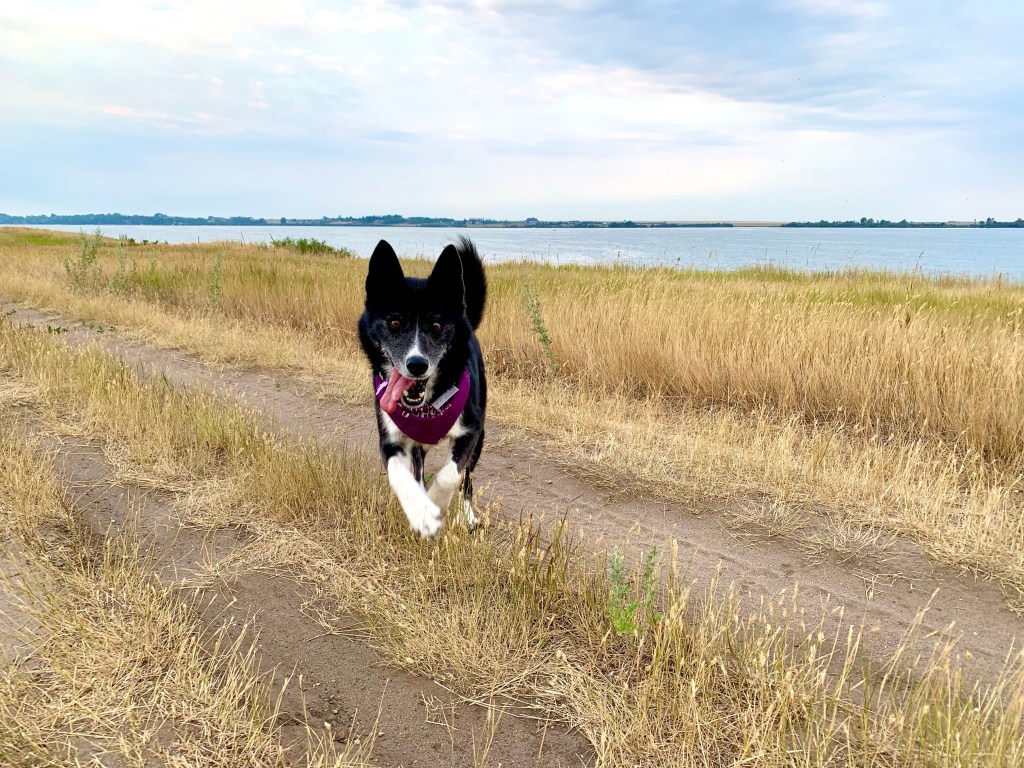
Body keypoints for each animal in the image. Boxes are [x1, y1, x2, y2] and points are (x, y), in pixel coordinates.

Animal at [358, 237, 487, 537]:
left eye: (437, 325)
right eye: (395, 322)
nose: (417, 364)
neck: (428, 406)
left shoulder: (470, 431)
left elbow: (451, 474)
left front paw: (435, 502)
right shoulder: (391, 438)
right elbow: (400, 475)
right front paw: (420, 511)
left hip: (481, 437)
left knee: (467, 479)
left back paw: (467, 515)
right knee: (417, 471)